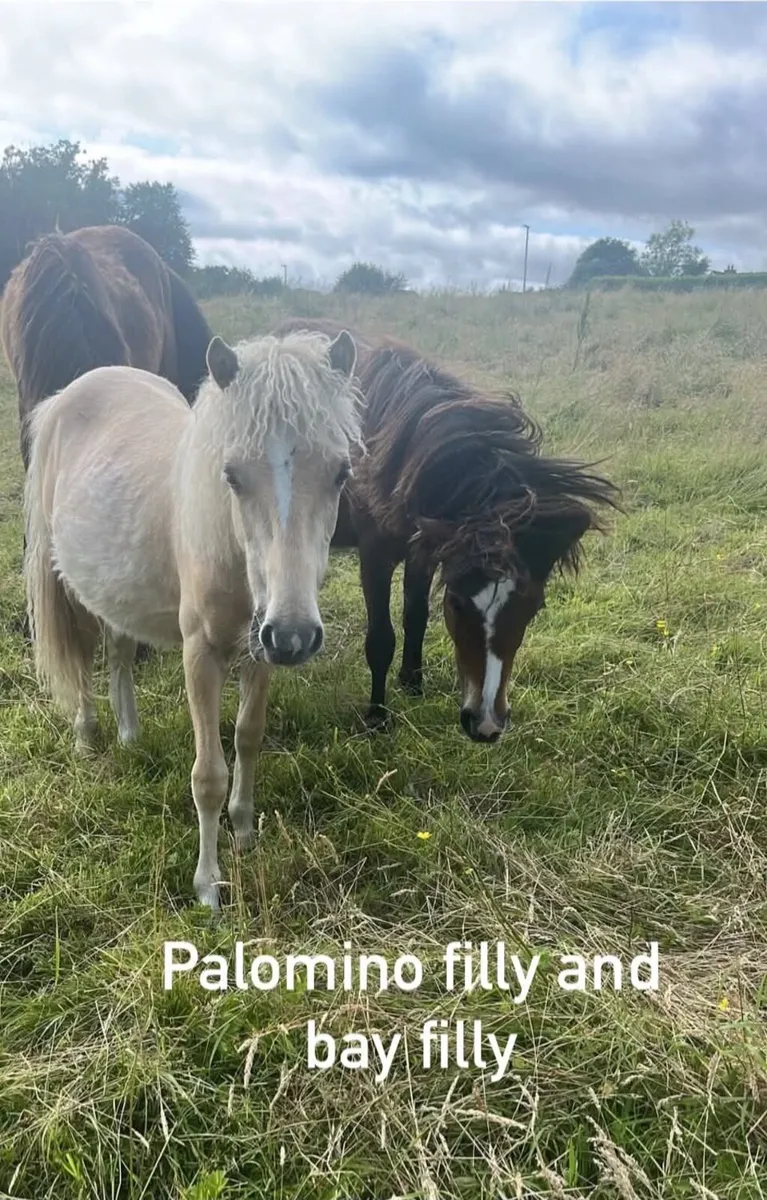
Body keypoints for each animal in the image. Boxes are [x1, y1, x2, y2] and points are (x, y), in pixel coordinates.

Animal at [23, 328, 361, 908]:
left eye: (340, 473)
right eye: (232, 476)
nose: (295, 635)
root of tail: (68, 395)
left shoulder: (260, 651)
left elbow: (248, 736)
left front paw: (244, 831)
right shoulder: (201, 656)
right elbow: (208, 776)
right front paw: (209, 886)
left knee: (118, 652)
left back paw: (130, 735)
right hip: (64, 579)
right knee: (82, 656)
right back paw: (87, 738)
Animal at [274, 318, 620, 743]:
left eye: (534, 607)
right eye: (456, 603)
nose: (486, 723)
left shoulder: (424, 548)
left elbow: (416, 615)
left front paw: (413, 683)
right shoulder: (375, 556)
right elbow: (381, 638)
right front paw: (377, 715)